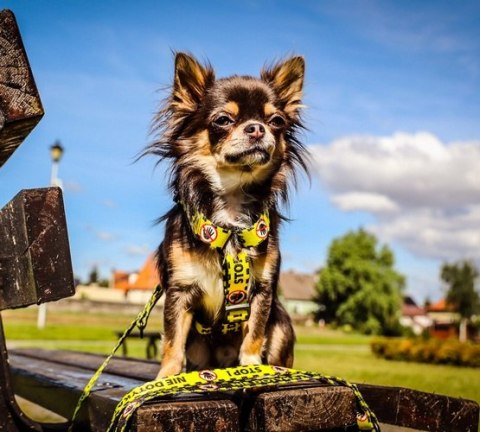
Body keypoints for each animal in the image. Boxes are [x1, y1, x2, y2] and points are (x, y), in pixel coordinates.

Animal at [146, 53, 310, 378]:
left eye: (276, 121)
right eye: (223, 120)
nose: (256, 128)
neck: (232, 212)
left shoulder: (262, 291)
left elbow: (255, 333)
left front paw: (251, 367)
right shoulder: (180, 292)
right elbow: (172, 340)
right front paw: (166, 377)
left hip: (282, 324)